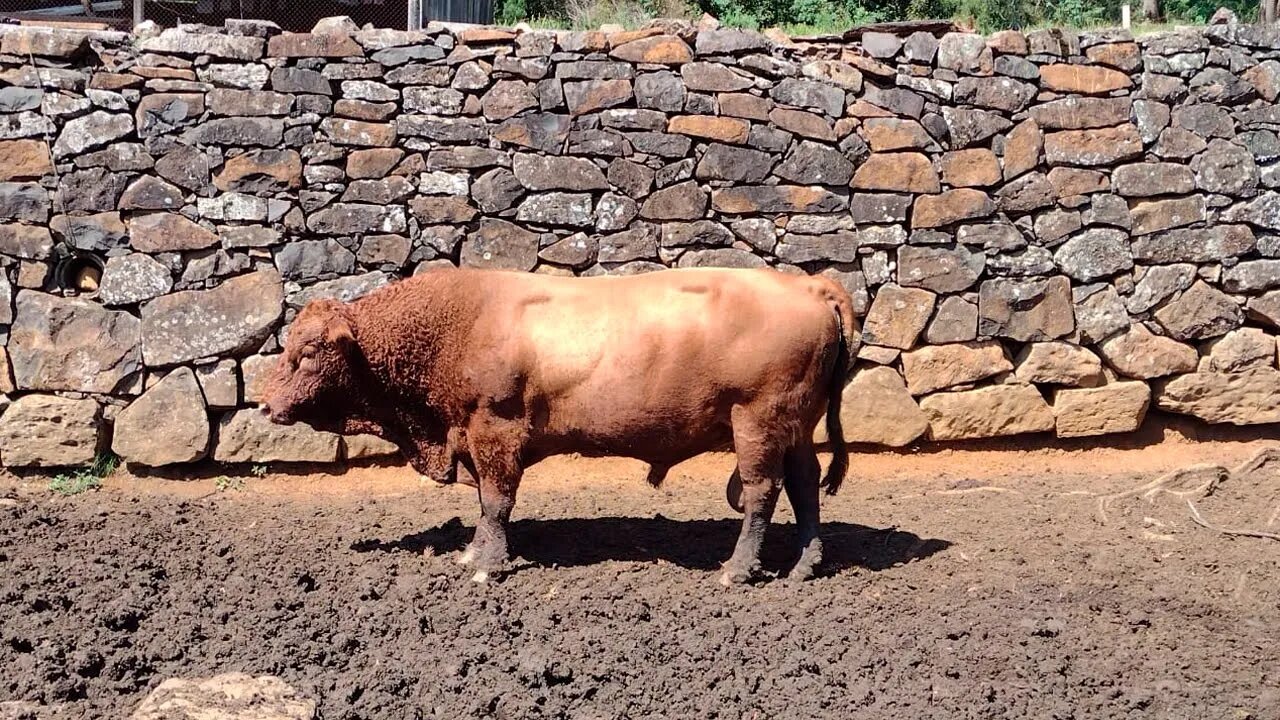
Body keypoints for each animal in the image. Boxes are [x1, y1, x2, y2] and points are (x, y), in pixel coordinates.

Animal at [263, 266, 855, 579]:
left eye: (309, 351)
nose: (266, 405)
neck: (459, 322)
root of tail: (807, 284)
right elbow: (487, 507)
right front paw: (472, 552)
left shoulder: (495, 430)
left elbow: (496, 503)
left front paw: (488, 565)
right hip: (794, 427)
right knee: (804, 485)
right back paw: (805, 564)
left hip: (758, 421)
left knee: (762, 492)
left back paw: (737, 569)